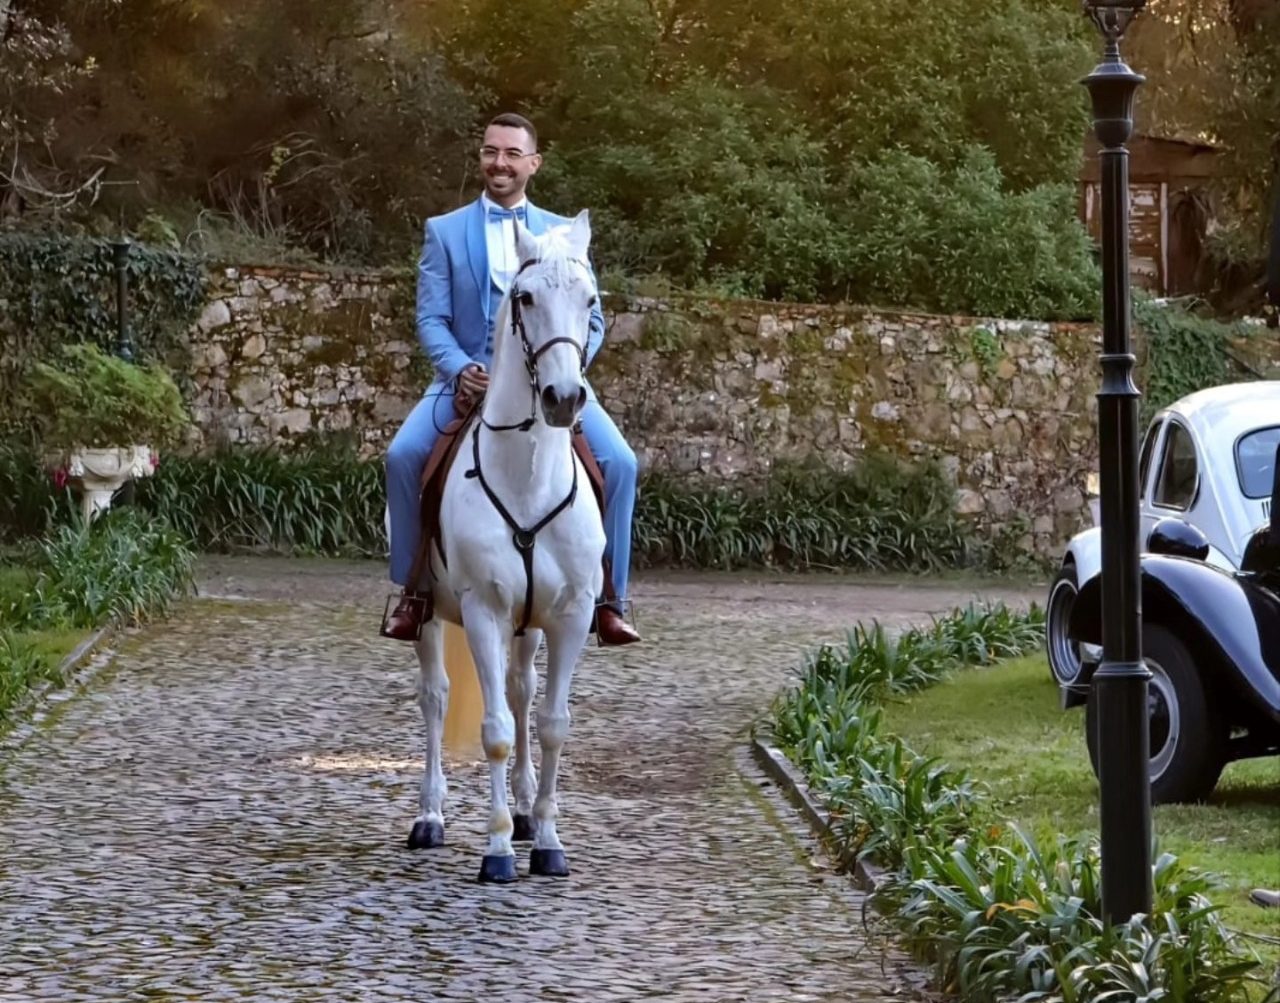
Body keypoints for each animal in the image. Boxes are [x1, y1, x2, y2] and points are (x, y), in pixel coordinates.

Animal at [406, 210, 606, 884]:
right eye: (525, 298)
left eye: (590, 300)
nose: (563, 399)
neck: (526, 475)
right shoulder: (484, 611)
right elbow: (492, 729)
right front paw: (495, 851)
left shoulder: (570, 615)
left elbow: (550, 725)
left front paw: (545, 839)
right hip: (432, 617)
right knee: (437, 699)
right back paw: (431, 817)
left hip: (530, 627)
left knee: (521, 694)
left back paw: (521, 814)